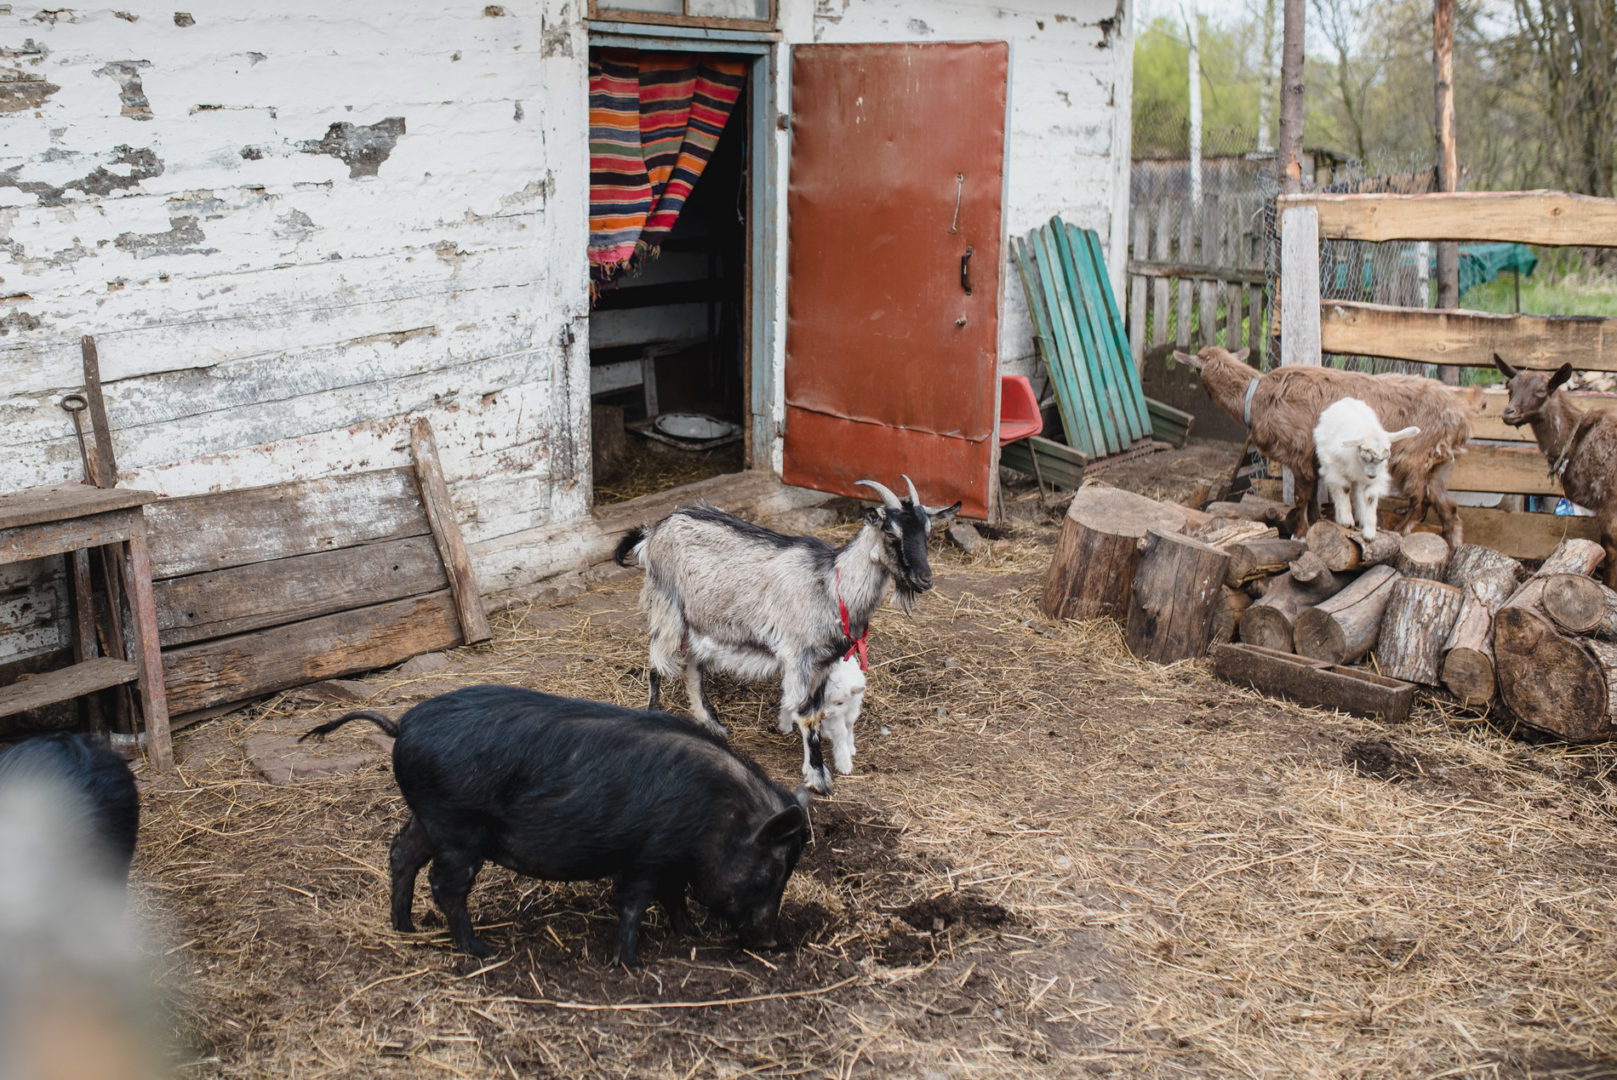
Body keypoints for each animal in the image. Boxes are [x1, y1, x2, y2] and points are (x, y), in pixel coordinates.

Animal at [302, 688, 808, 963]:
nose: (772, 942)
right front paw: (629, 964)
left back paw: (406, 930)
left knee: (401, 853)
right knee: (445, 884)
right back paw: (481, 951)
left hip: (428, 818)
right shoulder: (647, 856)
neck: (719, 815)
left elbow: (675, 897)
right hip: (457, 828)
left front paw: (692, 935)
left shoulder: (673, 861)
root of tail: (402, 727)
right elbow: (633, 903)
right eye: (771, 872)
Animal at [1177, 345, 1481, 543]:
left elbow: (1301, 495)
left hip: (1413, 456)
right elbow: (1313, 496)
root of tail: (1462, 418)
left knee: (1420, 500)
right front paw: (1316, 525)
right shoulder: (1314, 457)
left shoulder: (1298, 451)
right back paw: (1452, 547)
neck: (1256, 397)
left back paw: (1398, 532)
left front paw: (1299, 535)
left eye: (1197, 370)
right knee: (1448, 507)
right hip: (1439, 464)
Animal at [1487, 355, 1617, 585]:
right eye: (1509, 387)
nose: (1508, 413)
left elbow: (1610, 549)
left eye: (1541, 390)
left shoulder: (1607, 499)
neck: (1574, 442)